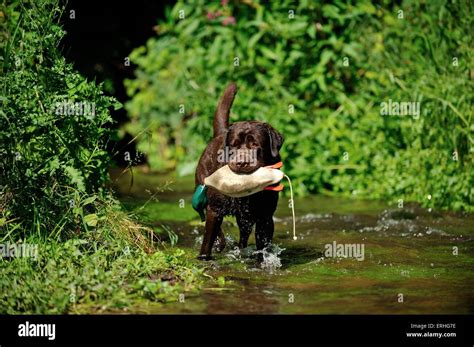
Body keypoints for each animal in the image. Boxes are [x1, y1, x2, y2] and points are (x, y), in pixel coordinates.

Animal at [194, 83, 284, 260]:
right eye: (234, 146)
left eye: (255, 145)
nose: (241, 162)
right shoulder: (215, 209)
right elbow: (208, 236)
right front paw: (204, 257)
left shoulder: (265, 216)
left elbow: (263, 244)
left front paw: (261, 260)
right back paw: (220, 244)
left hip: (245, 219)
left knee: (243, 235)